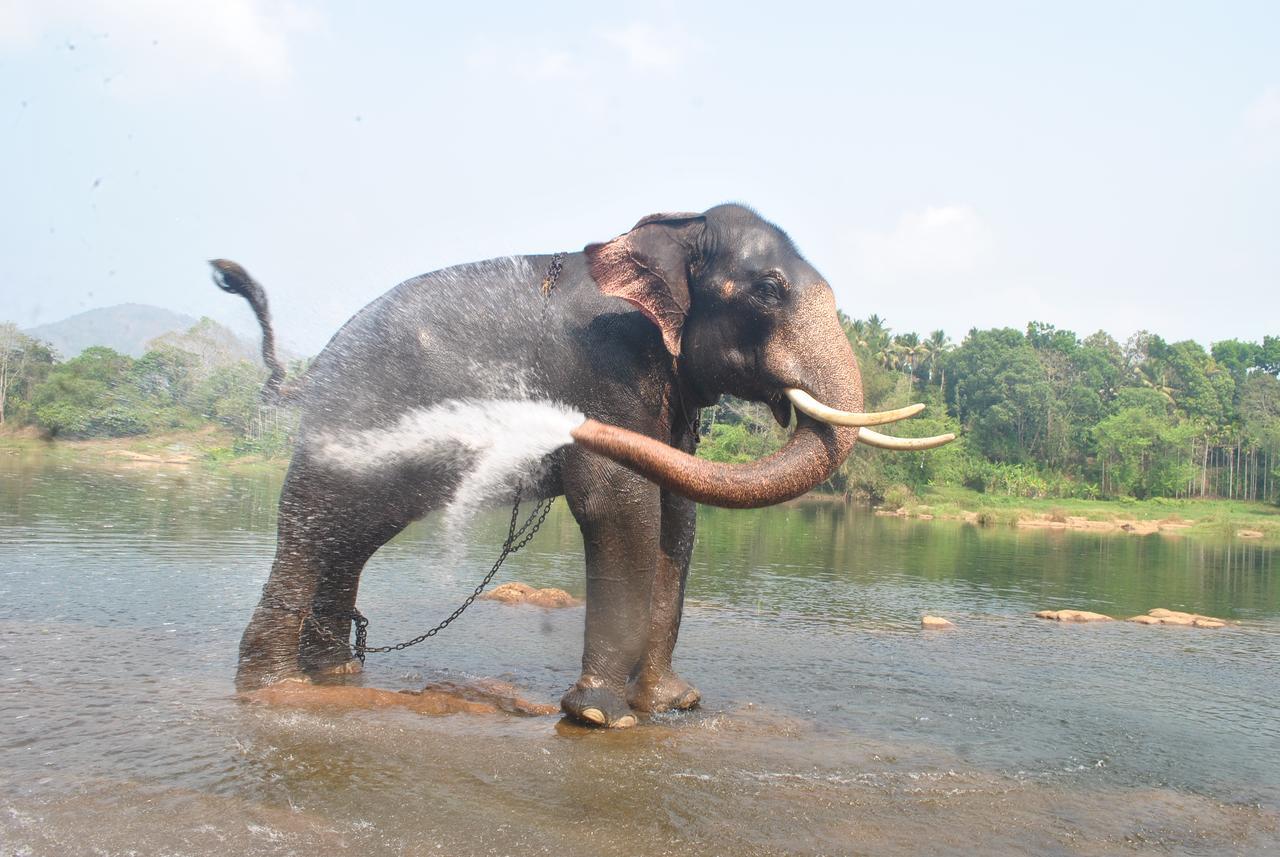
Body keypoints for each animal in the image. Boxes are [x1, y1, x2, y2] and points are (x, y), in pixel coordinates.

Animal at [212, 204, 952, 726]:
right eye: (769, 291)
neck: (667, 230)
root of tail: (308, 374)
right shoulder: (608, 364)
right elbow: (619, 501)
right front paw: (603, 716)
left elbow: (677, 512)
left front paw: (674, 704)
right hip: (340, 431)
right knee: (314, 526)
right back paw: (276, 688)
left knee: (351, 537)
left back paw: (334, 674)